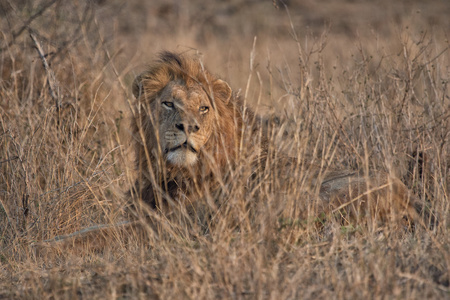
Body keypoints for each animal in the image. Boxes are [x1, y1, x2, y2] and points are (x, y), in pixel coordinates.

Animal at [130, 51, 432, 229]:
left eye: (203, 108)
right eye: (168, 103)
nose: (188, 127)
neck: (174, 172)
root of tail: (411, 199)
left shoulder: (185, 219)